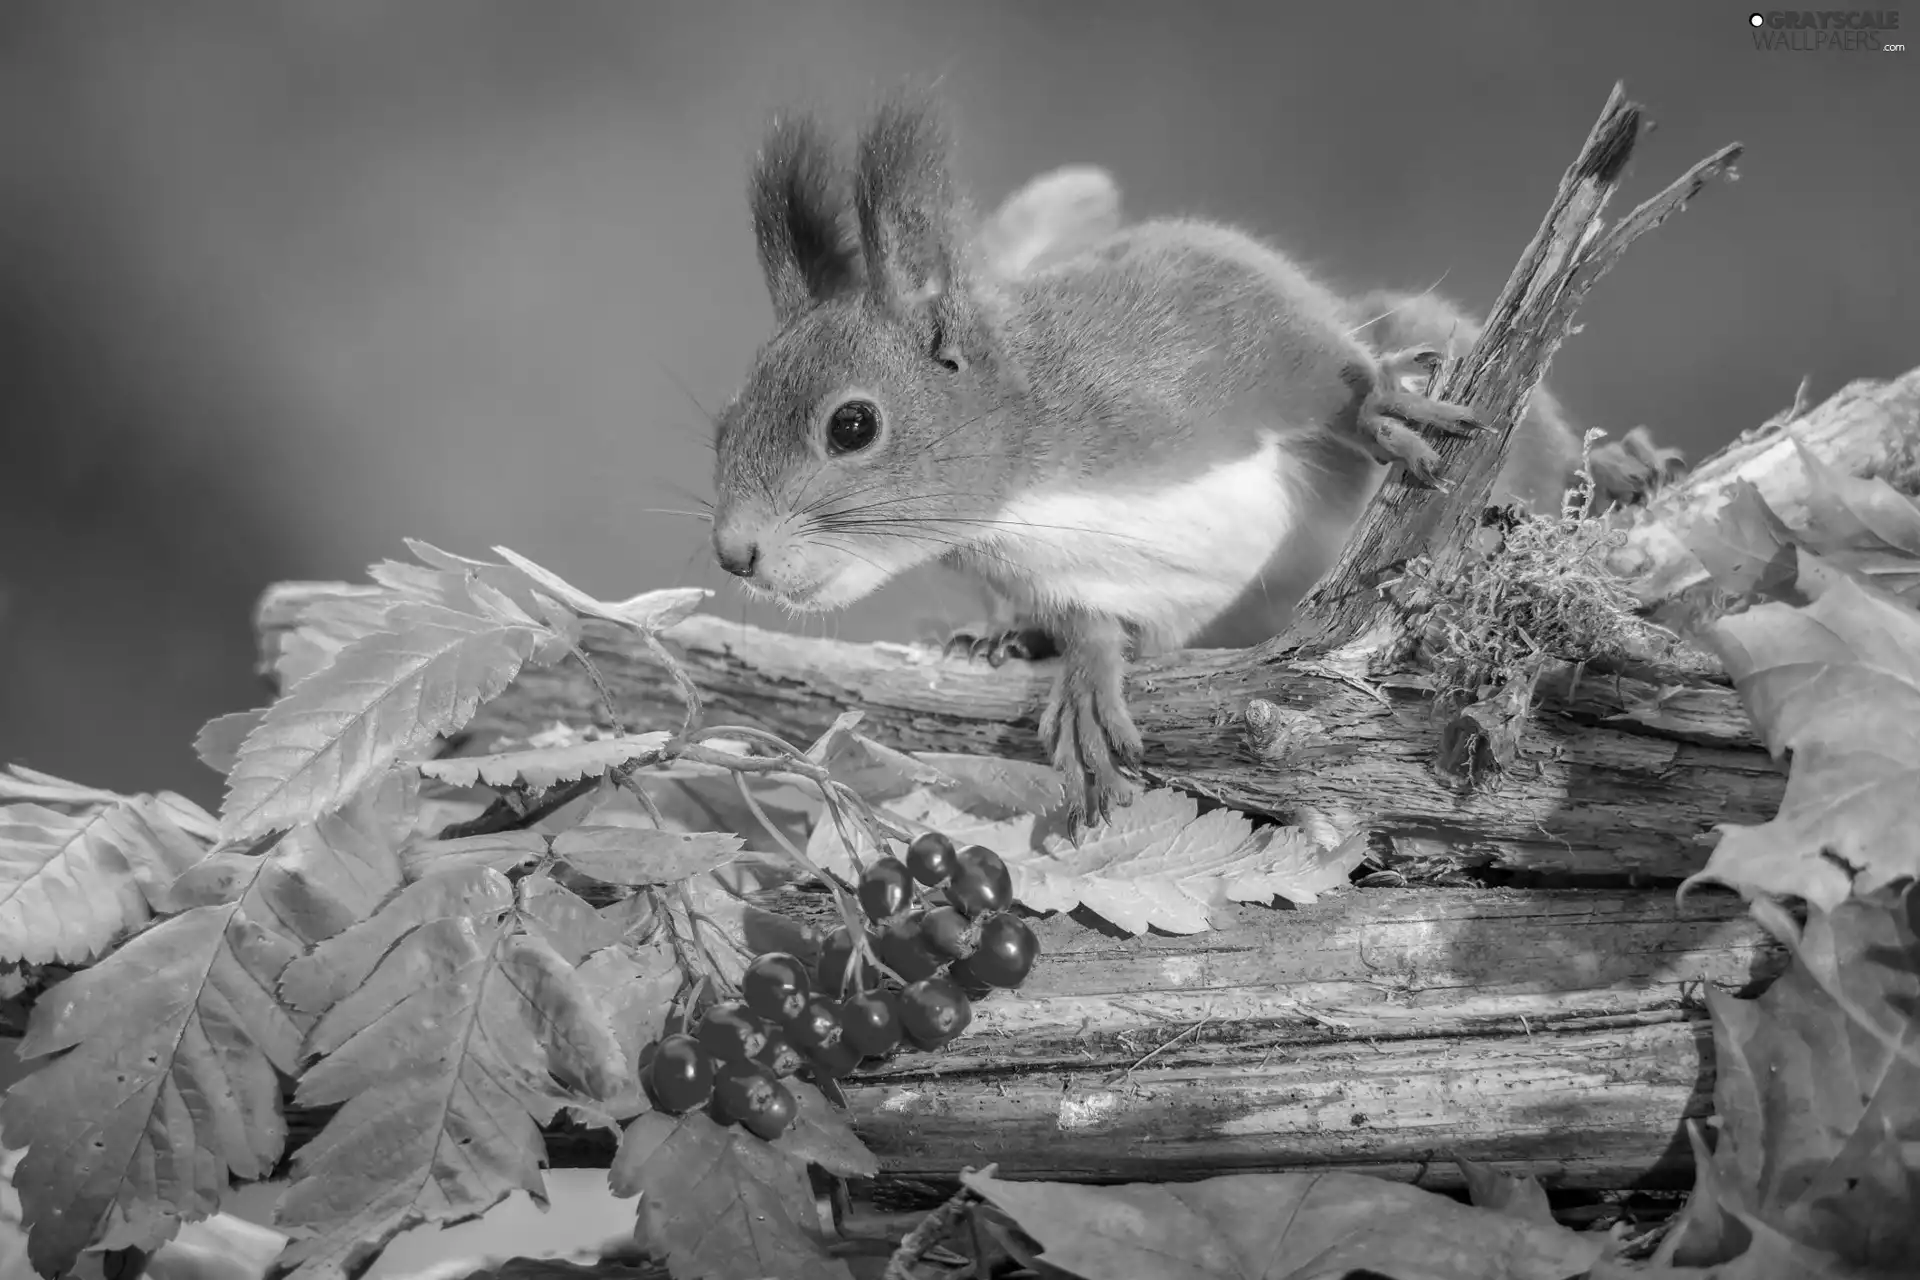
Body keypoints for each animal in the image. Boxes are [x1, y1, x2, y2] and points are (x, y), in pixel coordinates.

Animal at [710, 94, 1666, 825]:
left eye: (852, 425)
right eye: (722, 425)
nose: (735, 553)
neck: (1030, 494)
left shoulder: (1194, 319)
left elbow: (1307, 347)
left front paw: (1376, 405)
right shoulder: (1087, 579)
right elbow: (1095, 625)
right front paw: (1085, 677)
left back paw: (1618, 469)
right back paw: (1003, 638)